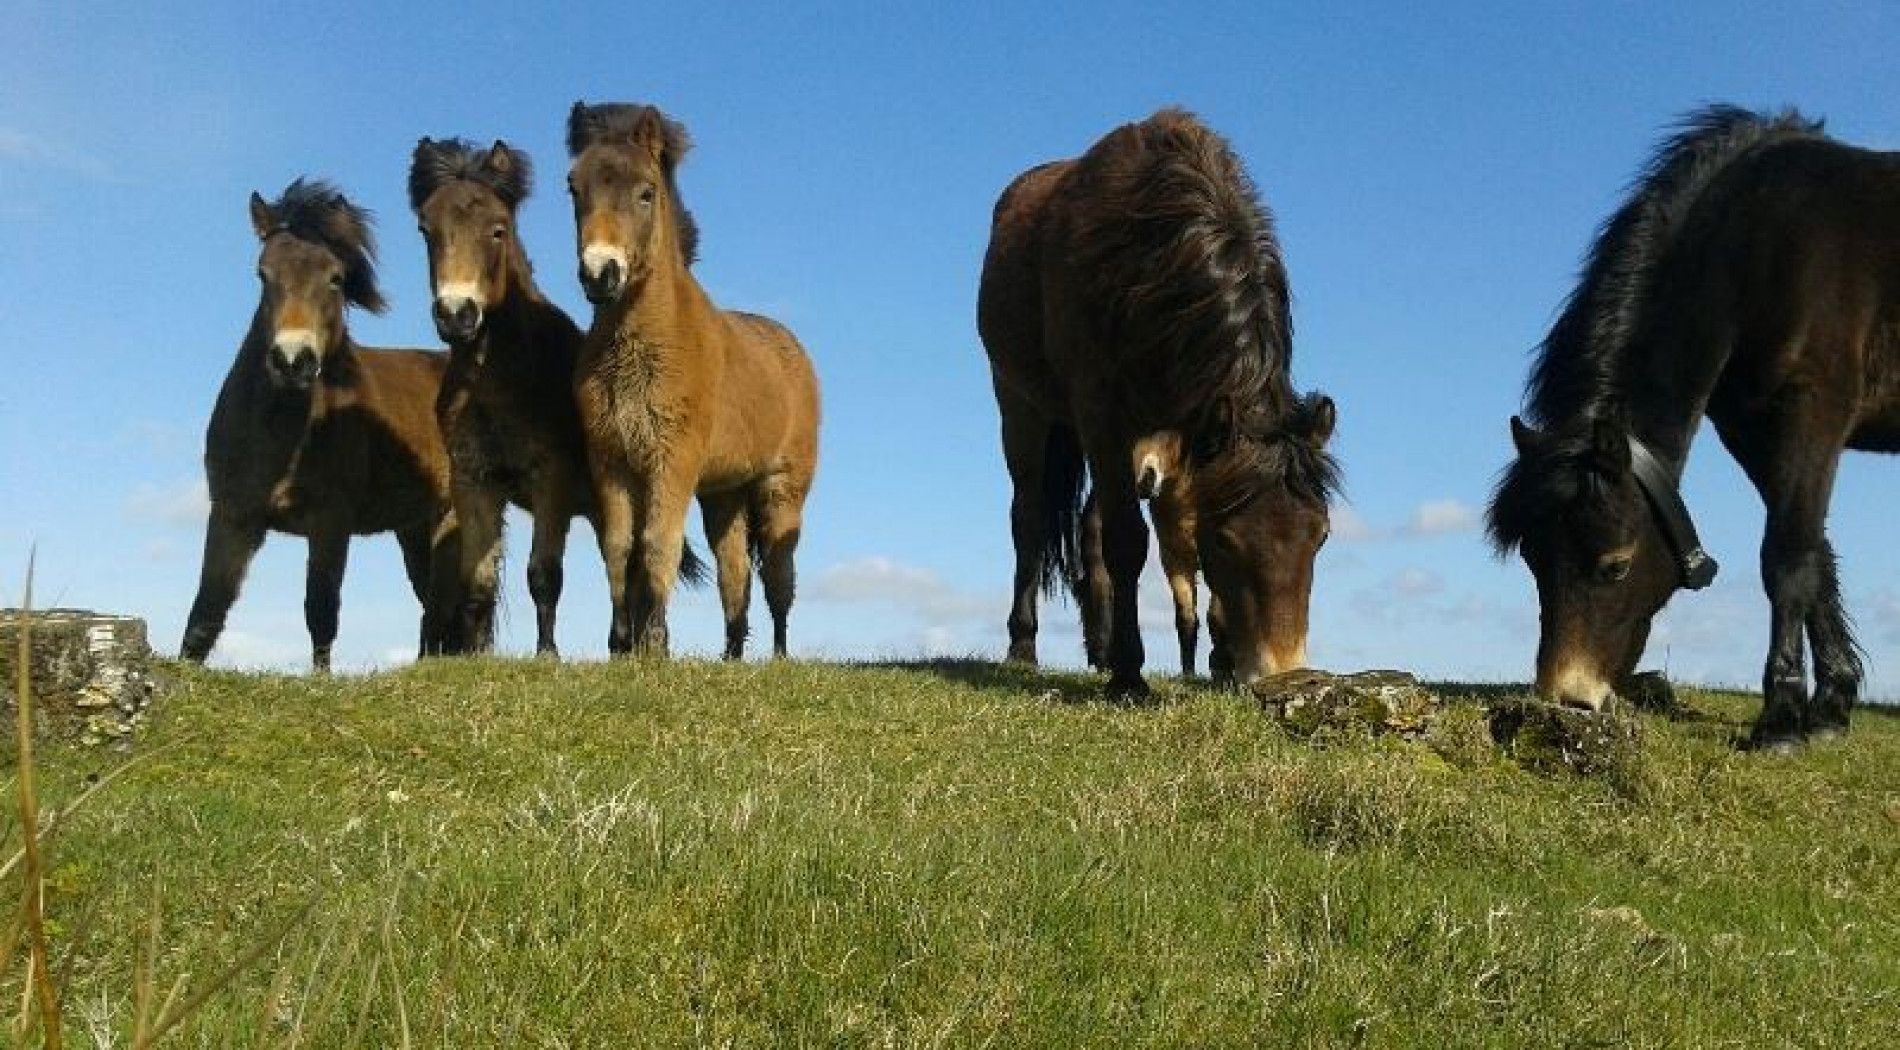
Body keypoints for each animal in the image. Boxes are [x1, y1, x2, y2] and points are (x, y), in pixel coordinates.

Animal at [180, 178, 459, 672]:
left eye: (336, 278)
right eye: (263, 274)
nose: (293, 360)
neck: (279, 434)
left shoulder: (330, 522)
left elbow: (321, 609)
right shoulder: (232, 515)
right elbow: (206, 611)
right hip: (413, 527)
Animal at [566, 100, 828, 653]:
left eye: (646, 192)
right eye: (574, 188)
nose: (600, 274)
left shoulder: (672, 460)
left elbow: (656, 545)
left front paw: (654, 645)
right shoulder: (612, 461)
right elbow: (619, 547)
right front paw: (620, 644)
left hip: (780, 491)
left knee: (778, 577)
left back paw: (779, 655)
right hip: (724, 496)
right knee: (735, 577)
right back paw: (730, 657)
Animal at [980, 108, 1337, 694]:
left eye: (1320, 536)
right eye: (1226, 541)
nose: (1285, 674)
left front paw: (1216, 664)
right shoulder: (1102, 413)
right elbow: (1128, 541)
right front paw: (1130, 677)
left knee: (1090, 528)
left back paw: (1102, 649)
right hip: (1023, 408)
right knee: (1029, 518)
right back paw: (1024, 647)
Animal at [1482, 104, 1900, 744]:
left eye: (1616, 565)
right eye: (1533, 561)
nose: (1569, 701)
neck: (1764, 249)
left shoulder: (1811, 416)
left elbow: (1787, 558)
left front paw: (1781, 720)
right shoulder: (1757, 435)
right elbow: (1817, 556)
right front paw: (1831, 706)